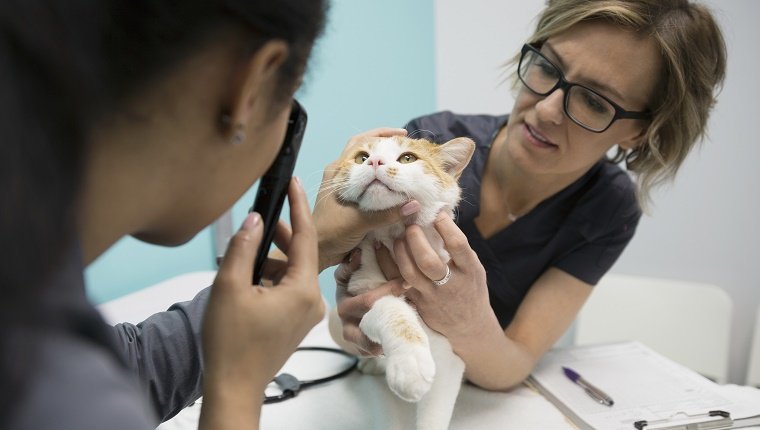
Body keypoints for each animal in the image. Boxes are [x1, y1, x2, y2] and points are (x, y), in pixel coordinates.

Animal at [332, 134, 476, 430]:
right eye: (362, 157)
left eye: (408, 158)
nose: (375, 161)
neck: (392, 235)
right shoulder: (361, 298)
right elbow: (392, 310)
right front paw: (410, 363)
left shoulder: (450, 360)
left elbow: (434, 417)